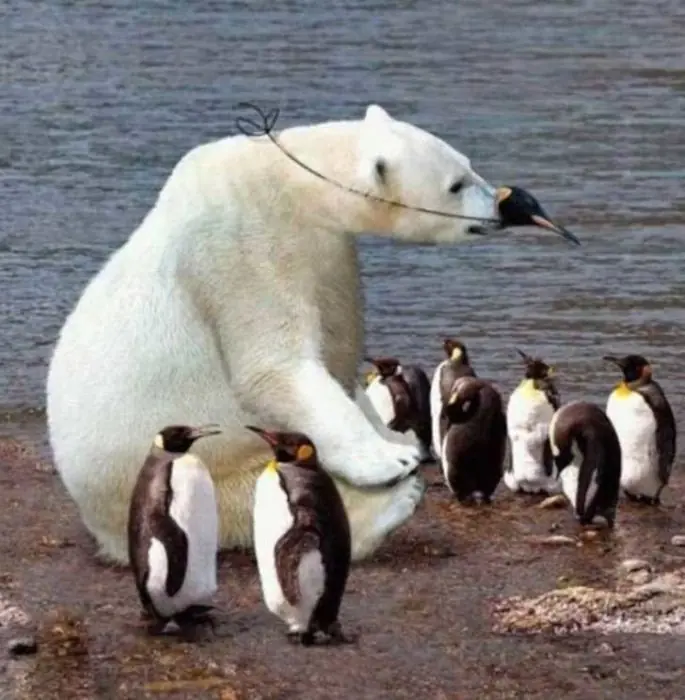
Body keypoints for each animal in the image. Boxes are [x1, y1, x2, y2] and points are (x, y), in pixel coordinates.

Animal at [46, 103, 505, 566]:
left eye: (468, 164)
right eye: (456, 184)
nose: (504, 204)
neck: (288, 182)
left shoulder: (329, 255)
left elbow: (336, 352)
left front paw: (394, 435)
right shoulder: (243, 244)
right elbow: (275, 366)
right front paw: (391, 458)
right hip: (174, 473)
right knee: (250, 498)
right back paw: (387, 507)